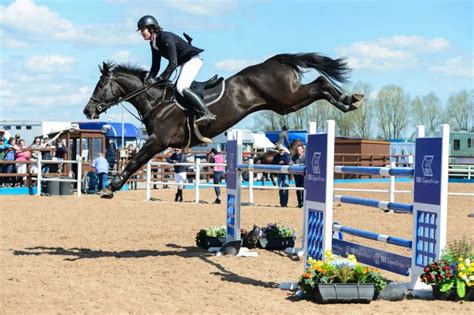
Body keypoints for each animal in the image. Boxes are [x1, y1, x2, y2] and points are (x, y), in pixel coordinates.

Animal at [83, 53, 362, 199]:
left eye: (100, 86)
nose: (88, 110)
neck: (157, 102)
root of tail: (275, 61)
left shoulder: (157, 142)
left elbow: (133, 162)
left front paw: (109, 188)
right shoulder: (159, 144)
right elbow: (137, 163)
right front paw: (111, 187)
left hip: (287, 98)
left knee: (320, 83)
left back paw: (350, 100)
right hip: (286, 104)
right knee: (319, 86)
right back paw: (349, 100)